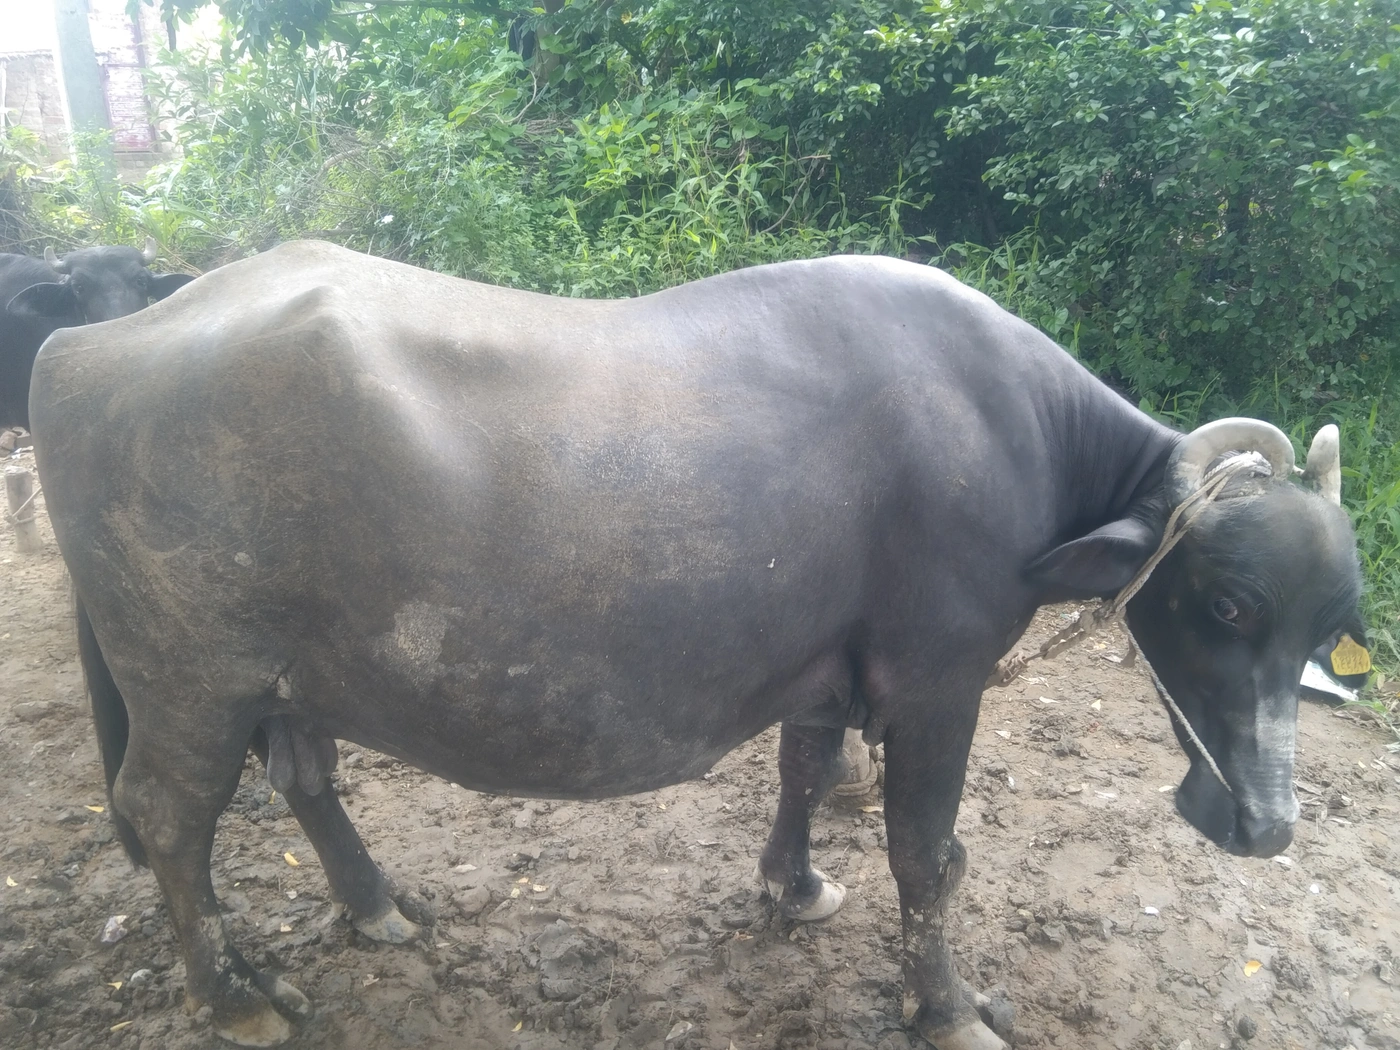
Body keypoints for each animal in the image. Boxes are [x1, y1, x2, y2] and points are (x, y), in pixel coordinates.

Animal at [31, 242, 1363, 1049]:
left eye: (1332, 622)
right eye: (1226, 605)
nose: (1264, 826)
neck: (1012, 438)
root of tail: (80, 348)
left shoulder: (827, 666)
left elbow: (804, 769)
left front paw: (793, 886)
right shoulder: (937, 682)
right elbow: (929, 858)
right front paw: (945, 1007)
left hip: (278, 678)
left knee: (301, 779)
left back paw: (374, 908)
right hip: (191, 684)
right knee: (167, 817)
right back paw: (231, 996)